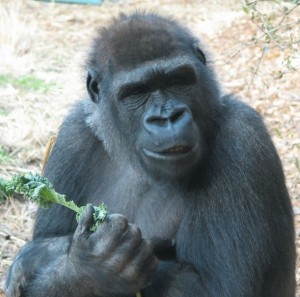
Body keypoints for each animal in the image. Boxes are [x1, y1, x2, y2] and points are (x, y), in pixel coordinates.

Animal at [4, 11, 296, 296]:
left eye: (178, 80)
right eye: (137, 92)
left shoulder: (242, 135)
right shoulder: (72, 135)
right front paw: (92, 266)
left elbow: (218, 287)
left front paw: (77, 262)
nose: (167, 118)